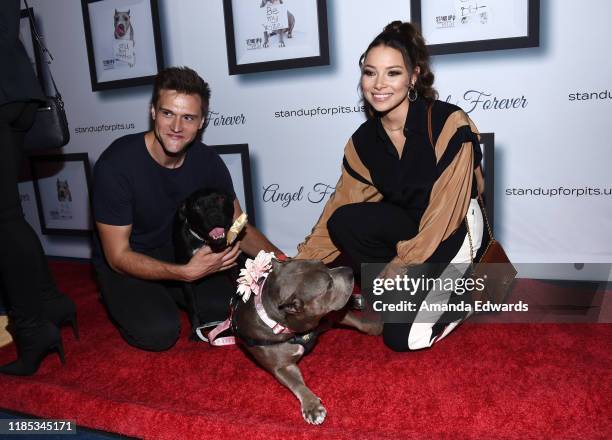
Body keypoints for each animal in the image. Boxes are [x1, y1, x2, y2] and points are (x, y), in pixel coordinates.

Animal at [231, 258, 382, 422]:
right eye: (328, 285)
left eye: (324, 264)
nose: (349, 270)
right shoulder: (283, 367)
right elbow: (297, 384)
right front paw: (311, 406)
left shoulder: (328, 314)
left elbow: (356, 321)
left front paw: (374, 327)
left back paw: (356, 300)